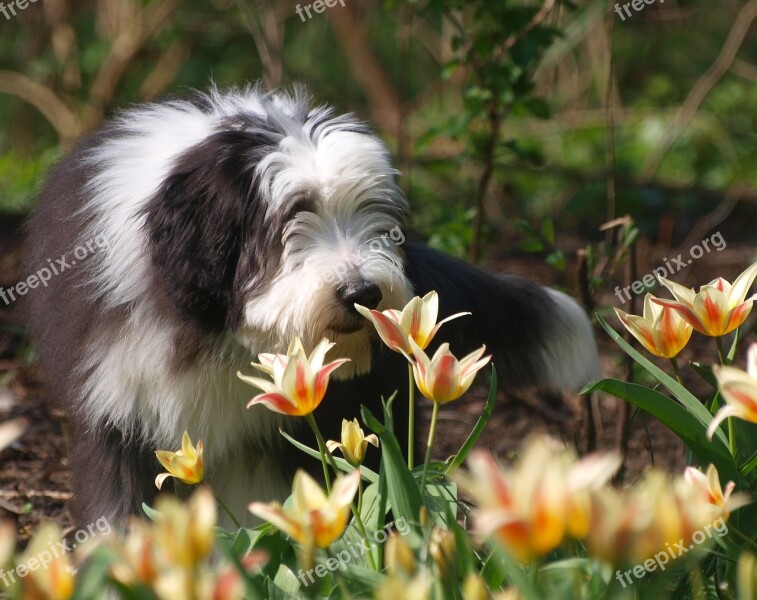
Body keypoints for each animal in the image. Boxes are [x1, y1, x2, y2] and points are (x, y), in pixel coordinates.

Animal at [26, 85, 600, 528]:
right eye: (291, 218)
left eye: (373, 214)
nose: (363, 293)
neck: (219, 335)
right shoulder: (121, 415)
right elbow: (121, 509)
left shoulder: (292, 428)